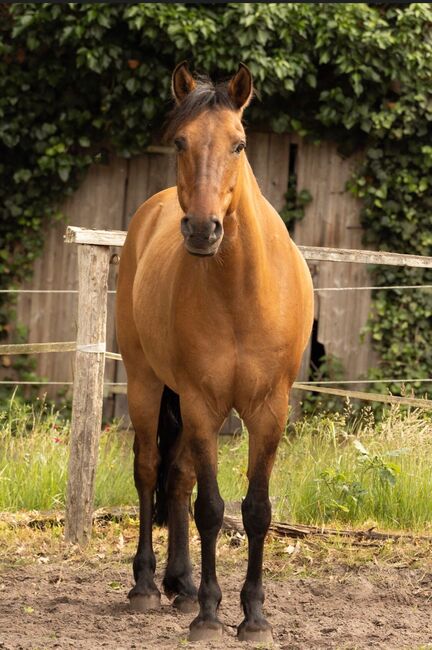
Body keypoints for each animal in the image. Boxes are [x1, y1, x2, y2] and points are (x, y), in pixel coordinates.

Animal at [116, 63, 312, 640]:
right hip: (146, 384)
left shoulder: (269, 410)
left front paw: (254, 616)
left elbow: (255, 509)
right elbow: (210, 507)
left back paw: (179, 585)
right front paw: (209, 613)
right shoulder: (203, 404)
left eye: (239, 144)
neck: (241, 294)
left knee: (177, 479)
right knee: (149, 471)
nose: (203, 229)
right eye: (181, 141)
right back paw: (146, 586)